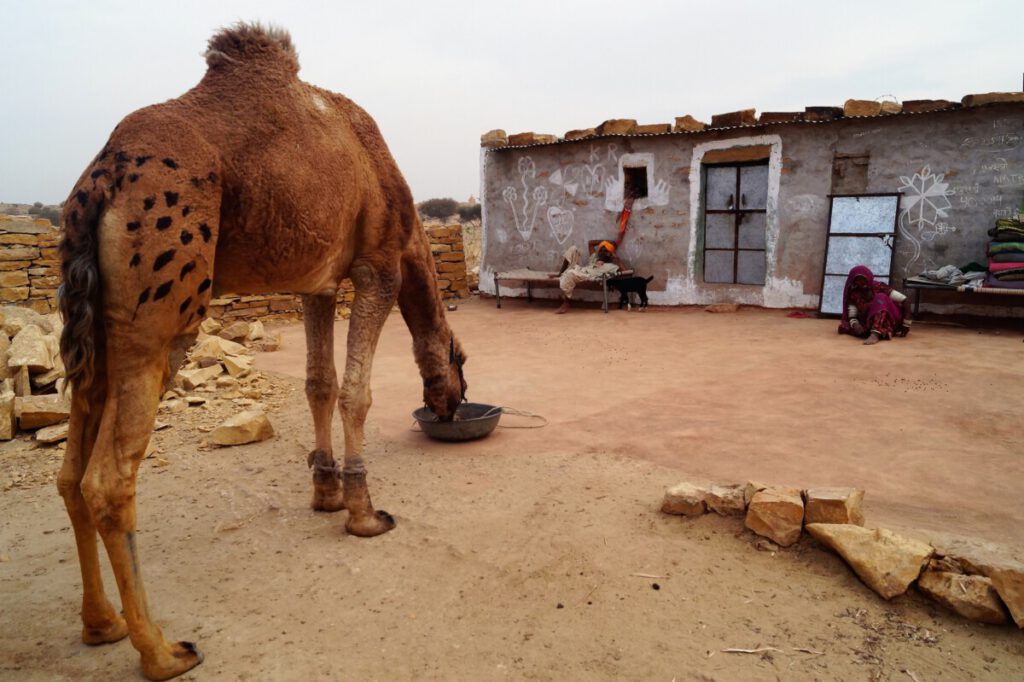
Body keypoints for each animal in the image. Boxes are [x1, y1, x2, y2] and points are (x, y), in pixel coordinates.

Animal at [58, 23, 466, 675]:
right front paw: (365, 513)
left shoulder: (317, 283)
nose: (451, 407)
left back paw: (102, 625)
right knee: (108, 481)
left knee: (70, 475)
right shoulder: (377, 265)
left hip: (91, 327)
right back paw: (164, 651)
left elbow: (319, 384)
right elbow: (356, 393)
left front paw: (325, 492)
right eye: (463, 366)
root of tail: (99, 182)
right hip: (161, 316)